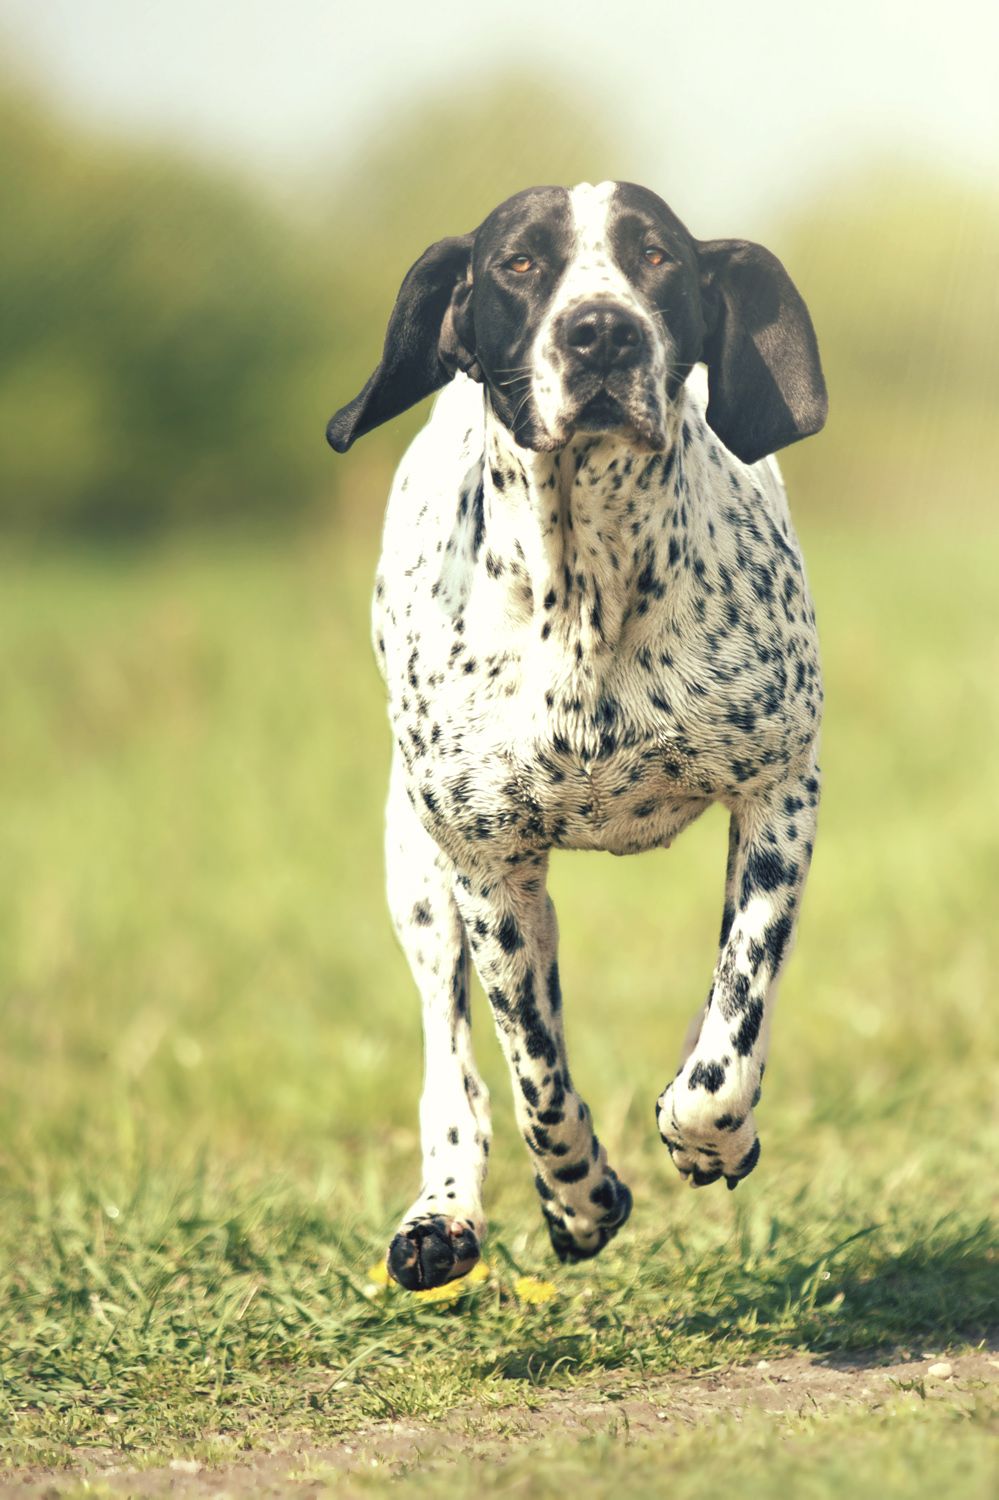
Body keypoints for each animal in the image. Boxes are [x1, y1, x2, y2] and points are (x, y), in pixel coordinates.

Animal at [327, 181, 822, 1290]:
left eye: (657, 256)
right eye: (519, 263)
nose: (601, 331)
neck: (589, 583)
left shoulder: (778, 797)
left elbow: (730, 1031)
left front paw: (706, 1130)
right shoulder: (490, 871)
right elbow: (536, 1083)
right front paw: (579, 1199)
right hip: (417, 876)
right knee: (455, 1070)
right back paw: (443, 1212)